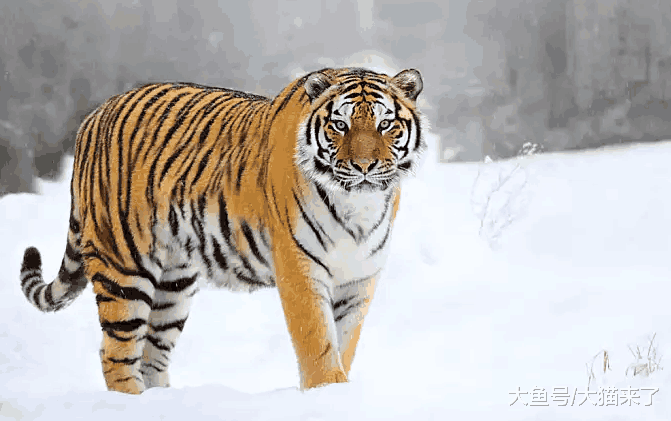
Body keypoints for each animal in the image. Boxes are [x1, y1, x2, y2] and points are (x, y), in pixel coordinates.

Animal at [18, 67, 426, 394]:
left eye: (385, 124)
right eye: (340, 125)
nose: (364, 166)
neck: (358, 207)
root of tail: (94, 116)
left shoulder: (359, 279)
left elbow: (345, 343)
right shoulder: (300, 273)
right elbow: (319, 344)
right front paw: (327, 393)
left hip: (174, 282)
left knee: (152, 354)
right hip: (125, 265)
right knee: (115, 354)